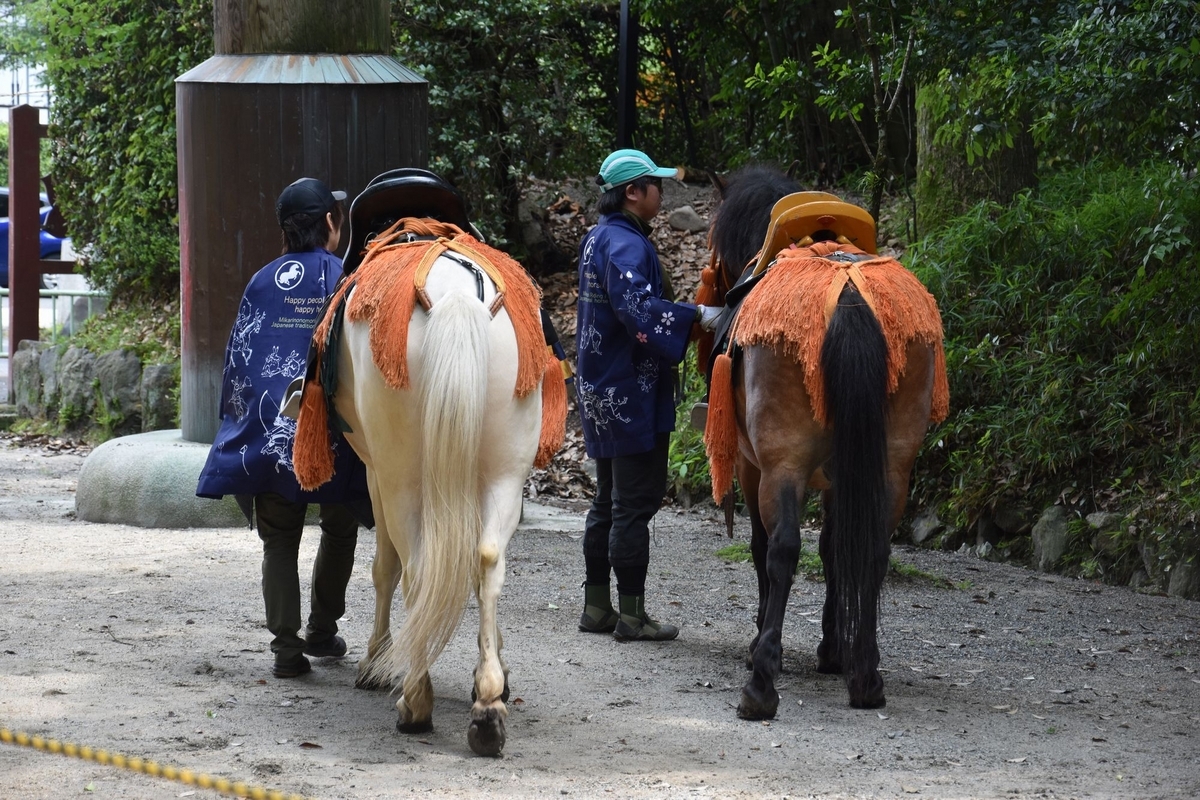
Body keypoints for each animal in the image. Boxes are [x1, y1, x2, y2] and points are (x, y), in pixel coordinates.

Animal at [292, 170, 566, 755]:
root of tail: (458, 295)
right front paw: (495, 667)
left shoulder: (376, 474)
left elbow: (383, 567)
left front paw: (375, 661)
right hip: (505, 469)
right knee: (487, 558)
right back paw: (488, 707)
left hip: (400, 475)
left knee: (415, 567)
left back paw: (415, 700)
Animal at [697, 166, 948, 717]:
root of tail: (847, 289)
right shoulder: (842, 476)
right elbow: (836, 548)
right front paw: (834, 648)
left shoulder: (752, 467)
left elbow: (764, 547)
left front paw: (761, 643)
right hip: (891, 465)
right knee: (872, 550)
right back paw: (866, 675)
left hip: (783, 462)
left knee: (783, 548)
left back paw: (761, 685)